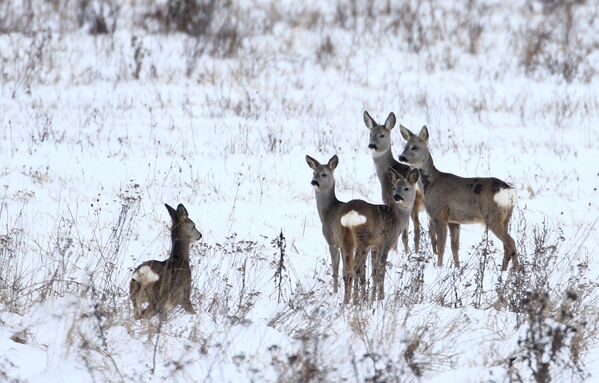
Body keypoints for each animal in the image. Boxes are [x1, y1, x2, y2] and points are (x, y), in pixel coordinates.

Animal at [308, 154, 420, 304]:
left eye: (406, 188)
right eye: (395, 187)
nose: (397, 197)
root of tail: (351, 215)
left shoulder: (373, 246)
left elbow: (370, 271)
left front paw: (369, 297)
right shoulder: (384, 243)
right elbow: (379, 272)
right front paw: (379, 298)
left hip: (348, 240)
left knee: (348, 269)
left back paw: (348, 301)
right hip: (362, 238)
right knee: (354, 268)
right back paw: (354, 300)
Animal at [360, 110, 432, 255]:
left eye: (382, 135)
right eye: (370, 134)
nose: (372, 145)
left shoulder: (390, 201)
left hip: (413, 205)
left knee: (415, 228)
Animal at [398, 126, 520, 272]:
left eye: (414, 147)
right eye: (405, 146)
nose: (401, 157)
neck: (430, 184)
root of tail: (508, 190)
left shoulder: (439, 215)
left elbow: (441, 246)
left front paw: (439, 268)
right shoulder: (454, 220)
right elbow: (454, 247)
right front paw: (457, 268)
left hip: (492, 216)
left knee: (511, 242)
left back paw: (515, 271)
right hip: (506, 217)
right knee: (507, 245)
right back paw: (507, 271)